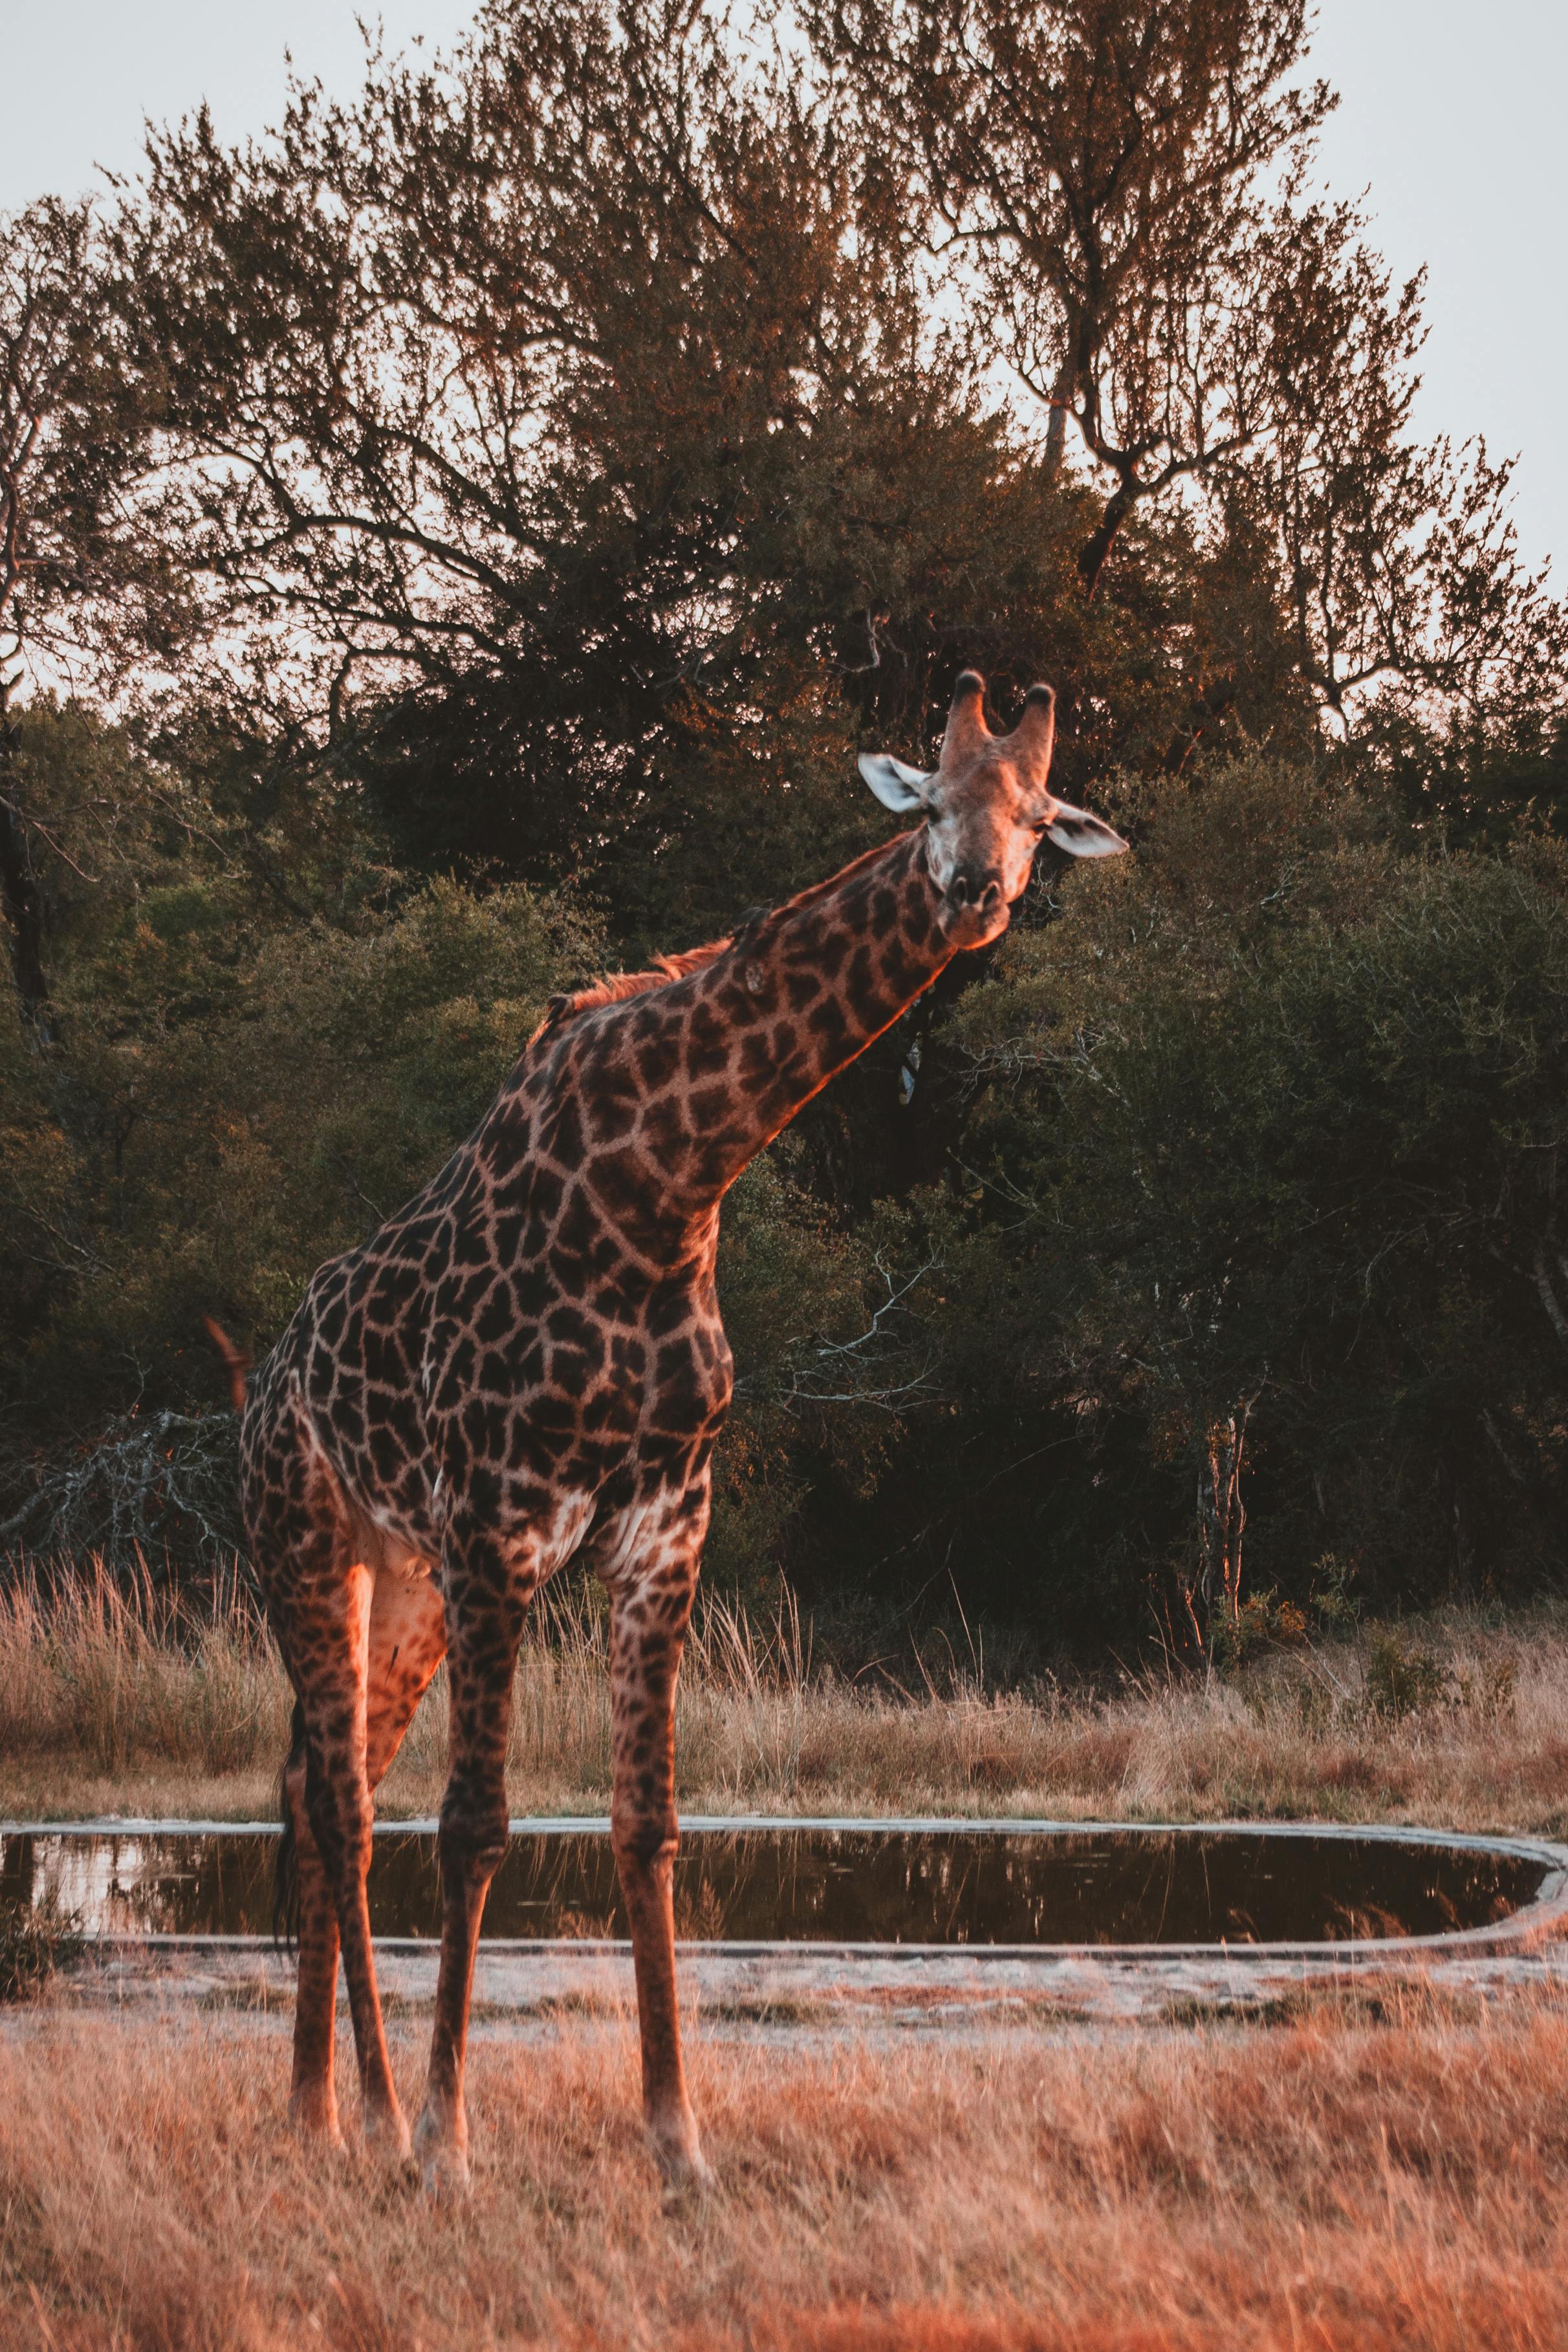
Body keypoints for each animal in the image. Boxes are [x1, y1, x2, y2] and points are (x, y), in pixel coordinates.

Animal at [212, 670, 1125, 2194]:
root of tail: (266, 1379)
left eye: (1039, 815)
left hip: (402, 1585)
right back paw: (370, 2119)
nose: (973, 890)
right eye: (931, 800)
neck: (673, 1181)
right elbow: (479, 1825)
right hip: (308, 1543)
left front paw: (678, 2145)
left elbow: (648, 1826)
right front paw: (452, 2146)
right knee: (339, 1806)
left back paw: (318, 2111)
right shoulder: (502, 1520)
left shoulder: (660, 1526)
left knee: (324, 1787)